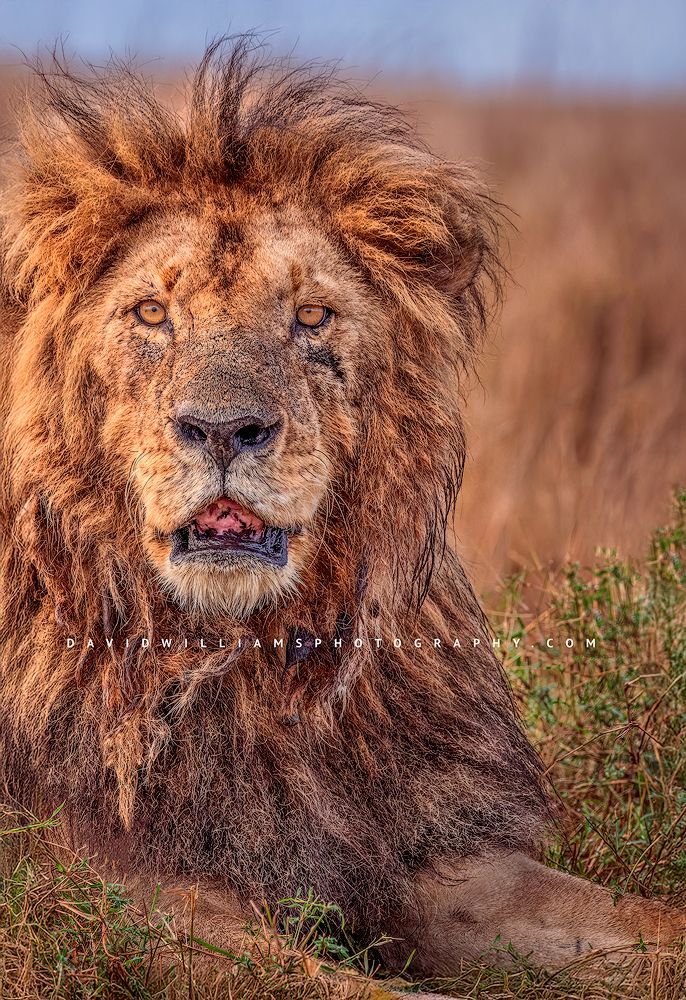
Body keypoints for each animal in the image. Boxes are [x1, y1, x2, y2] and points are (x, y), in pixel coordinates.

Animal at [0, 40, 683, 976]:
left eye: (312, 316)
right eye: (151, 313)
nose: (225, 429)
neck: (246, 663)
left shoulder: (441, 858)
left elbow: (648, 923)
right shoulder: (116, 893)